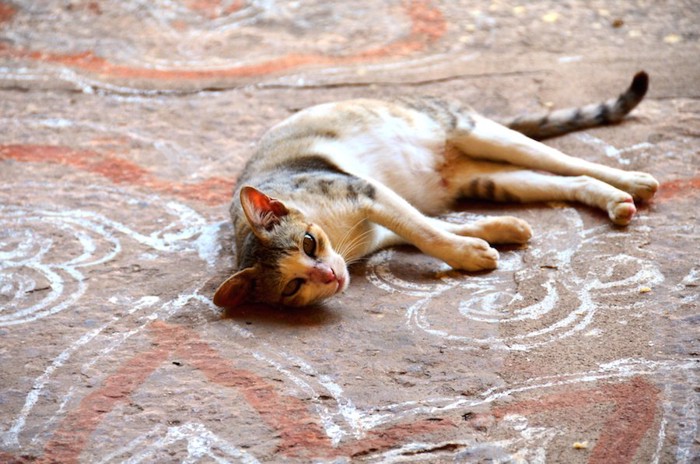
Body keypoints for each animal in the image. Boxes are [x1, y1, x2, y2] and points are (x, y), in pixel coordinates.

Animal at [213, 72, 656, 308]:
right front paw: (498, 233)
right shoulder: (382, 224)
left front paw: (470, 255)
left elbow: (425, 231)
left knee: (568, 162)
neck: (343, 241)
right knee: (568, 180)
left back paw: (634, 182)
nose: (329, 274)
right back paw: (615, 201)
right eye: (293, 286)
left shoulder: (368, 192)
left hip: (481, 134)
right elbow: (434, 226)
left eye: (308, 243)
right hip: (494, 180)